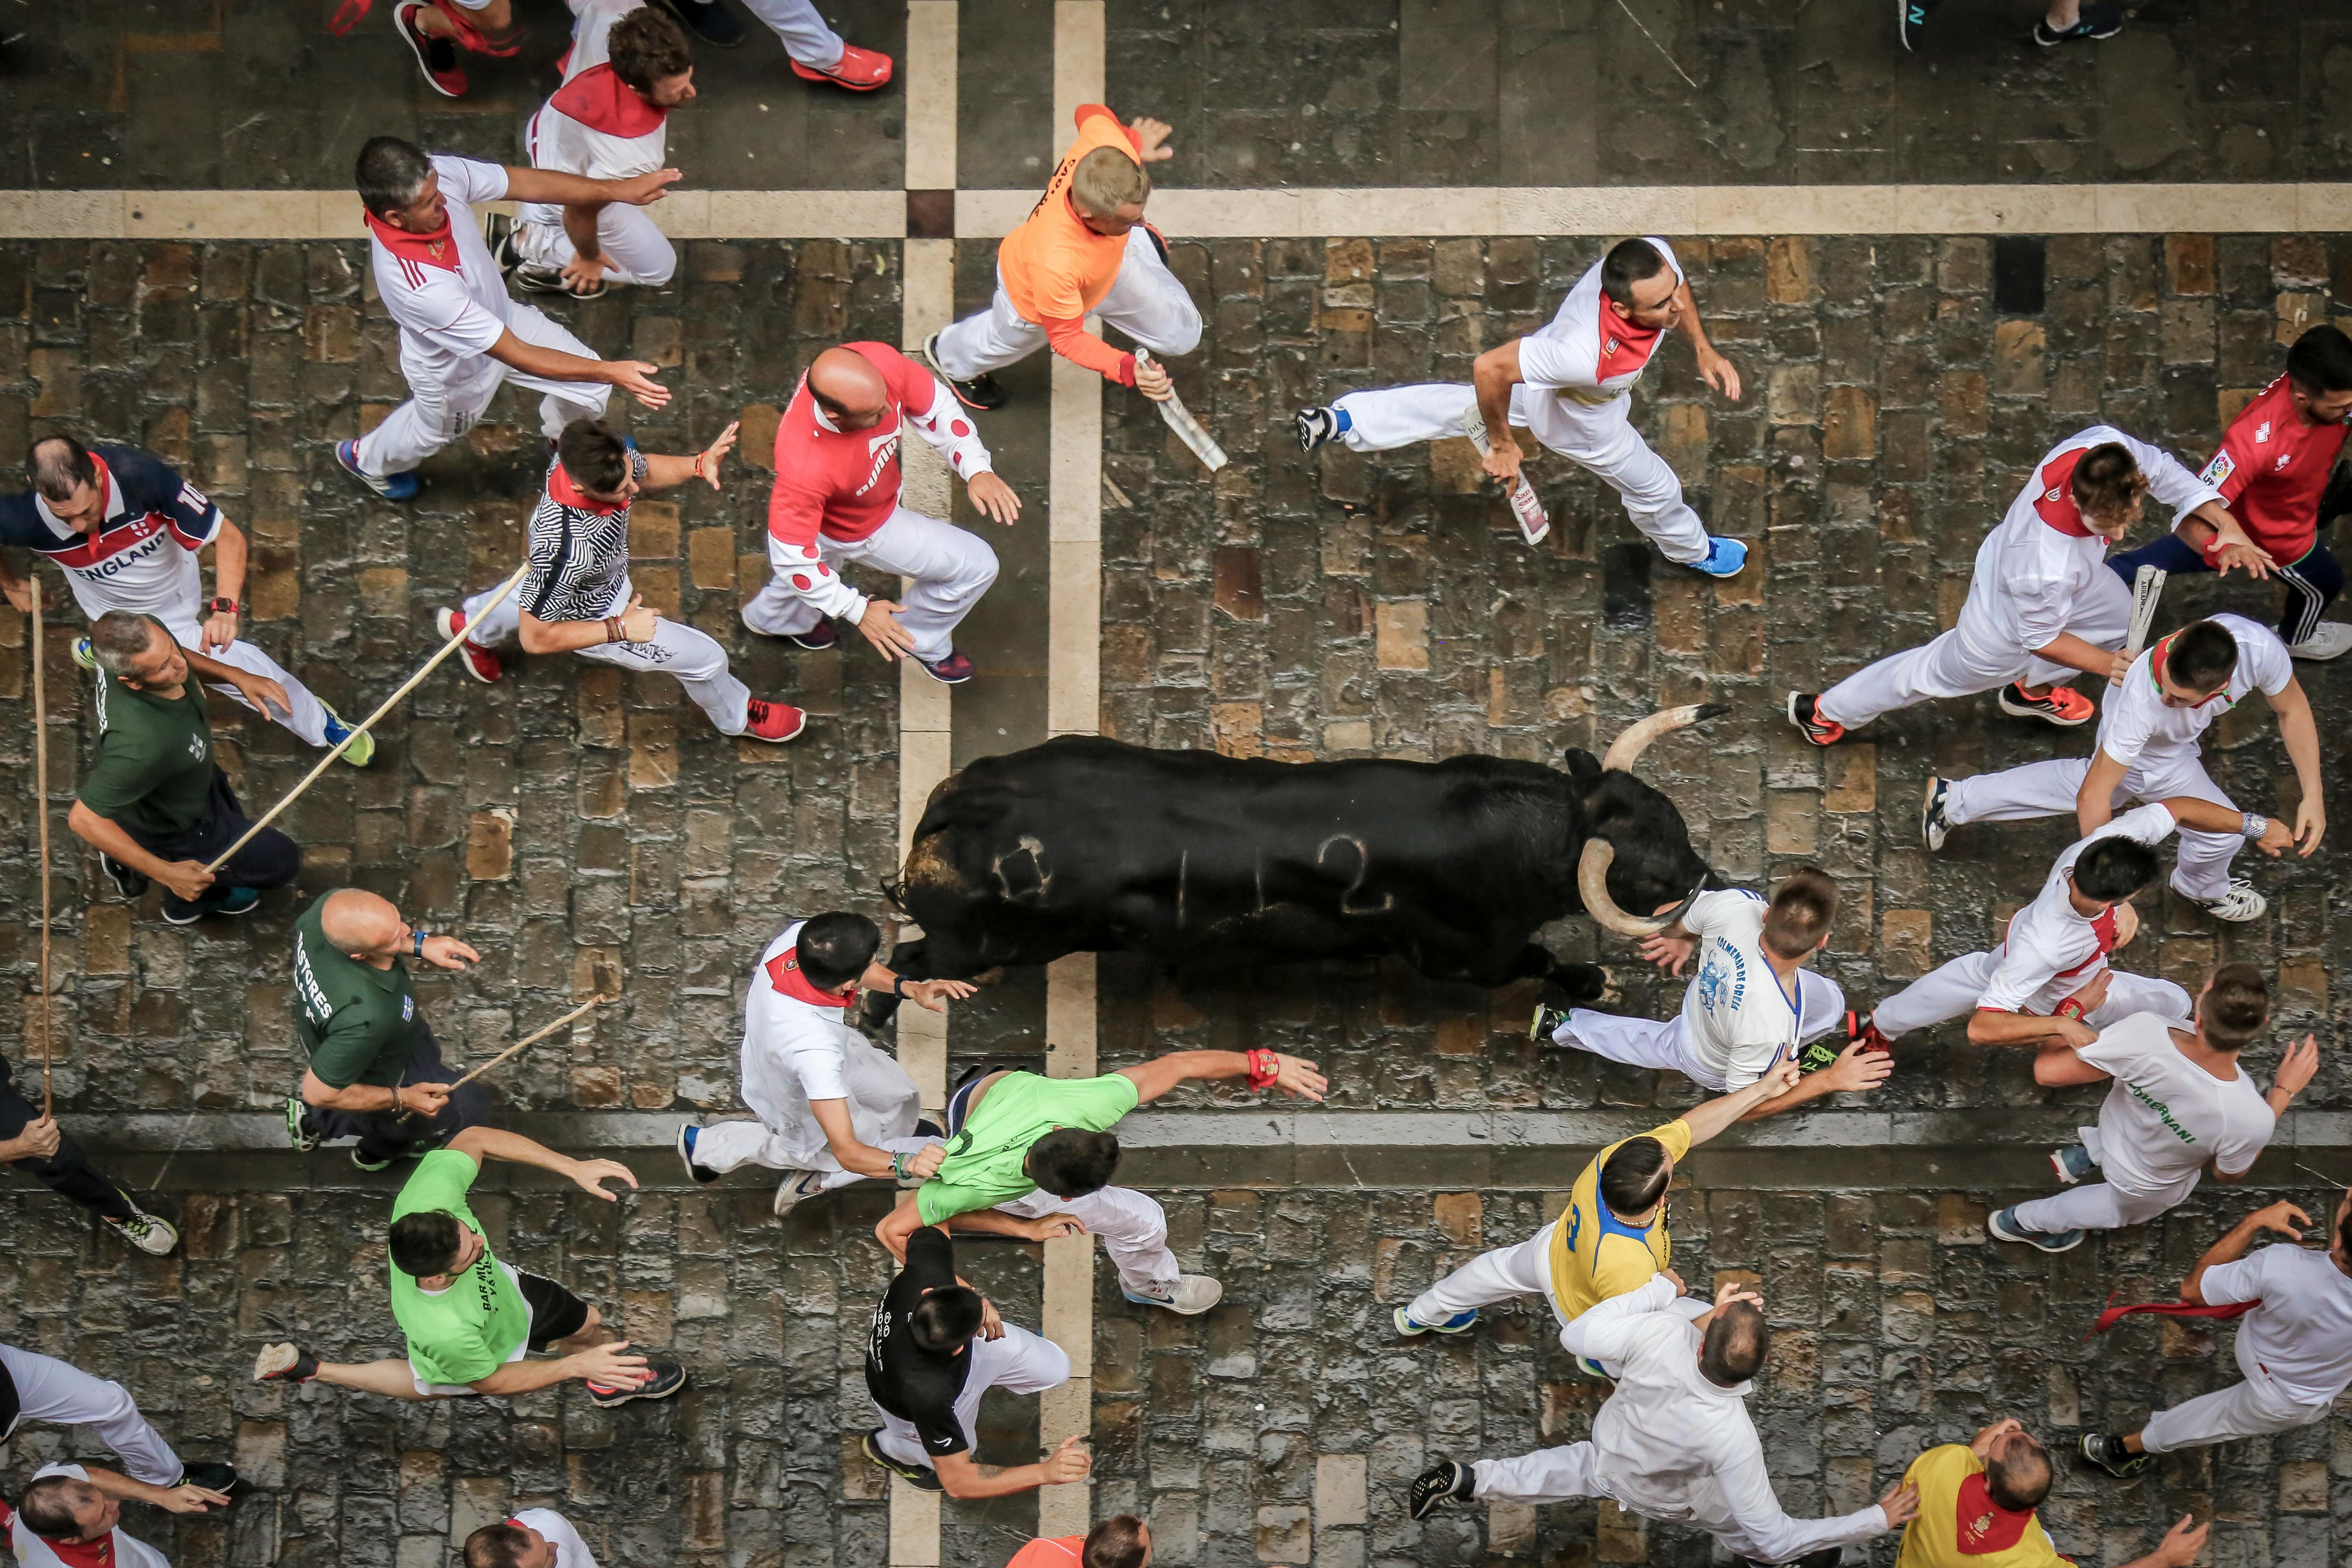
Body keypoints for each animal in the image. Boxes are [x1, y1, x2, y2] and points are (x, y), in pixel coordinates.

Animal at [884, 710, 1731, 1001]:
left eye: (1675, 818)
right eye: (1653, 873)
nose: (1712, 882)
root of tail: (960, 804)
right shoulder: (1463, 959)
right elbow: (1540, 962)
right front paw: (1592, 982)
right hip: (979, 946)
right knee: (904, 965)